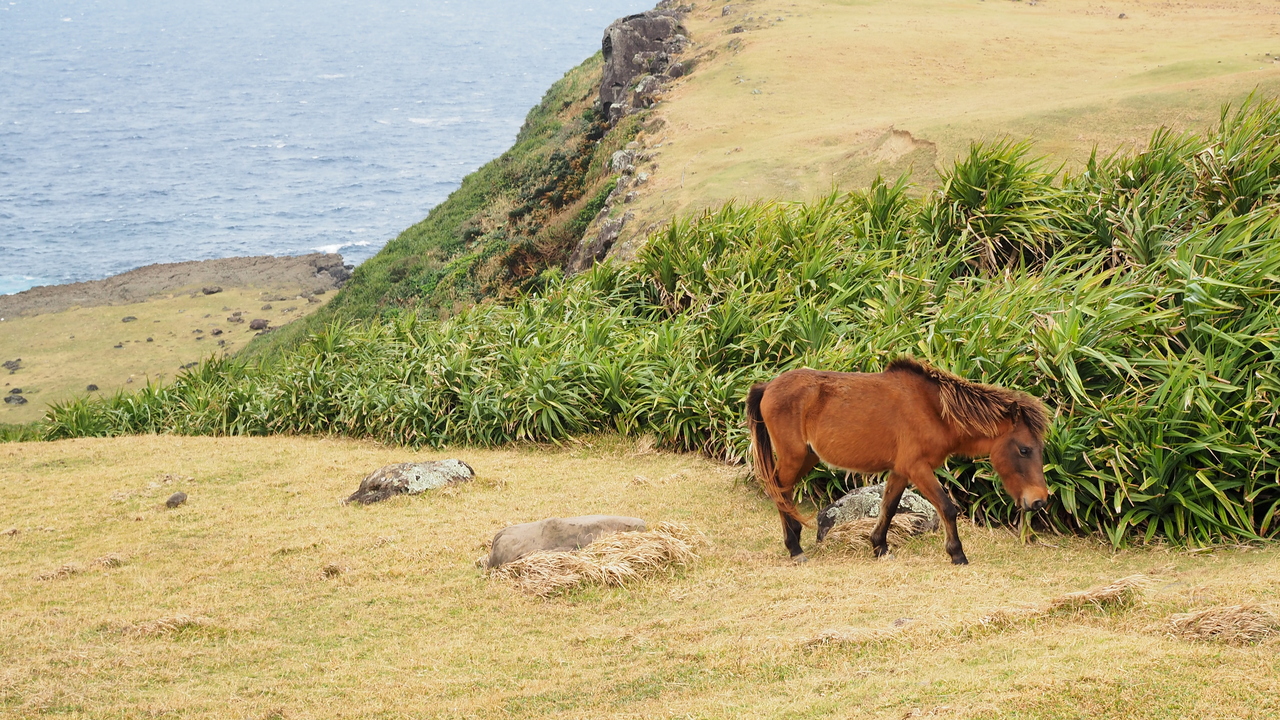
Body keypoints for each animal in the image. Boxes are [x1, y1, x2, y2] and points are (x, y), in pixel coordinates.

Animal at [745, 357, 1050, 565]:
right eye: (1024, 450)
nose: (1039, 501)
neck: (934, 410)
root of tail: (768, 386)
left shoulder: (901, 471)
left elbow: (888, 508)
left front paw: (879, 548)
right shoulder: (918, 468)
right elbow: (947, 508)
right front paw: (957, 554)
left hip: (806, 458)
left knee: (783, 492)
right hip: (793, 456)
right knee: (779, 491)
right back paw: (794, 549)